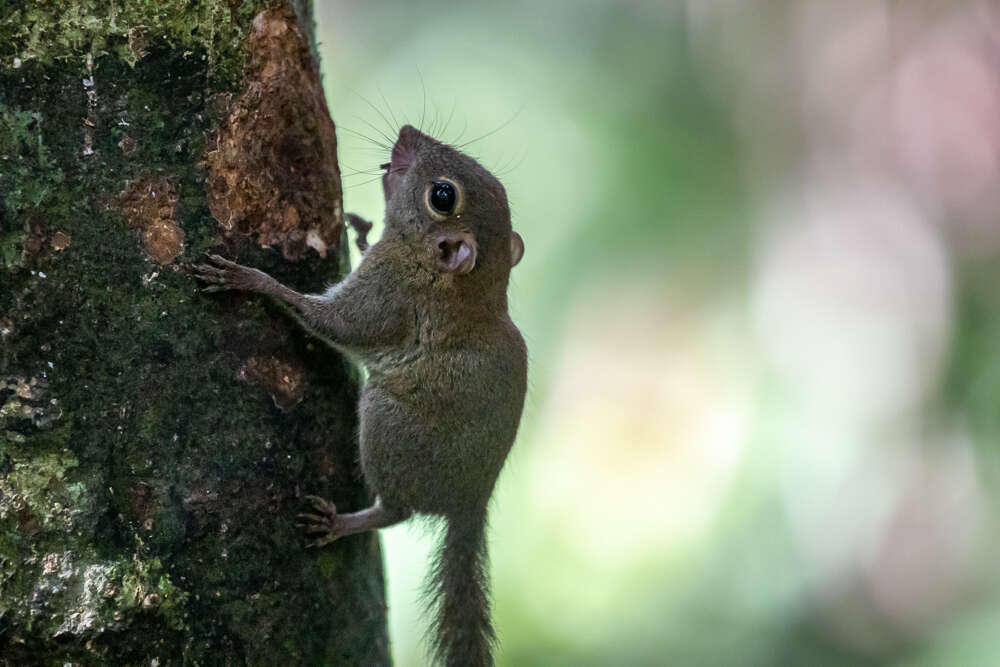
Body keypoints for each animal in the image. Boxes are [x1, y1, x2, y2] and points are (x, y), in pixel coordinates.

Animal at [191, 125, 528, 667]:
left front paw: (250, 279)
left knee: (397, 512)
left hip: (385, 424)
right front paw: (361, 229)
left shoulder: (388, 297)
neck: (467, 286)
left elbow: (333, 322)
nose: (409, 132)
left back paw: (339, 523)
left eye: (442, 196)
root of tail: (472, 500)